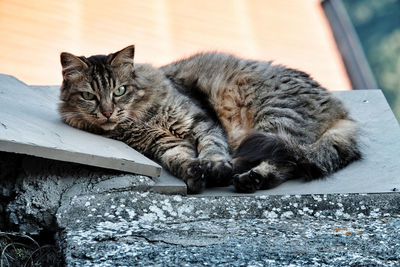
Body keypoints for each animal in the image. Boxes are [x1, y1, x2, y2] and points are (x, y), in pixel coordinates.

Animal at [58, 45, 362, 194]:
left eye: (119, 91)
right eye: (89, 96)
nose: (108, 111)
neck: (141, 119)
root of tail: (341, 112)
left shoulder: (201, 122)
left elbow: (212, 147)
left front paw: (213, 166)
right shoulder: (163, 143)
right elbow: (178, 159)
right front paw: (194, 173)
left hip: (273, 118)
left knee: (286, 159)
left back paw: (243, 175)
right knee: (288, 163)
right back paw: (247, 177)